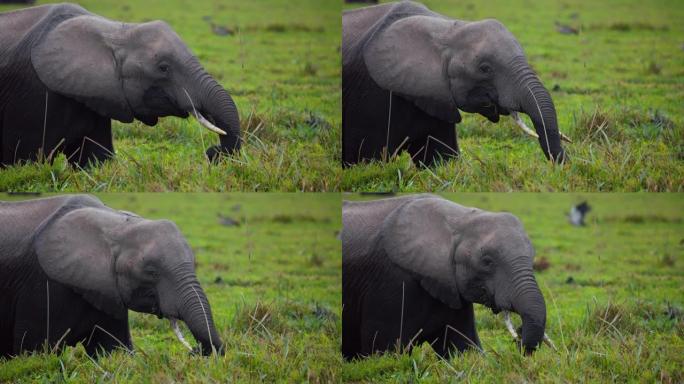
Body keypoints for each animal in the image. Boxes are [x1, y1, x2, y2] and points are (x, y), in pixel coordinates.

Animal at [0, 2, 240, 168]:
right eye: (163, 68)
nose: (212, 152)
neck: (115, 31)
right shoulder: (34, 96)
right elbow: (29, 160)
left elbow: (96, 159)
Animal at [0, 195, 223, 356]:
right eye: (151, 272)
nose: (194, 350)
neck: (115, 225)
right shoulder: (42, 286)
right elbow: (35, 351)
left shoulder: (105, 289)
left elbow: (115, 350)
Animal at [342, 1, 568, 166]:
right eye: (485, 68)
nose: (562, 164)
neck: (445, 29)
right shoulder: (371, 95)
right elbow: (367, 158)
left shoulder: (435, 95)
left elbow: (440, 157)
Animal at [342, 195, 552, 360]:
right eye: (487, 262)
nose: (519, 335)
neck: (458, 219)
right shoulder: (390, 283)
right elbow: (383, 352)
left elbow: (464, 348)